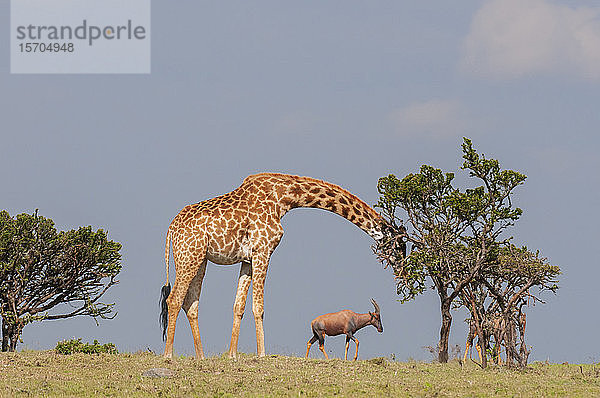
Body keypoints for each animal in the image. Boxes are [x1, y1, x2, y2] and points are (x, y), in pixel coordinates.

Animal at [161, 173, 394, 360]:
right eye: (397, 245)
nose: (396, 266)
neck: (285, 197)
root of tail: (171, 228)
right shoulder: (263, 250)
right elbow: (258, 307)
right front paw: (262, 354)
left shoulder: (248, 259)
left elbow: (239, 306)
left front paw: (232, 355)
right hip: (188, 256)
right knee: (174, 299)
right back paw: (168, 354)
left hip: (200, 259)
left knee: (190, 303)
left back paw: (200, 356)